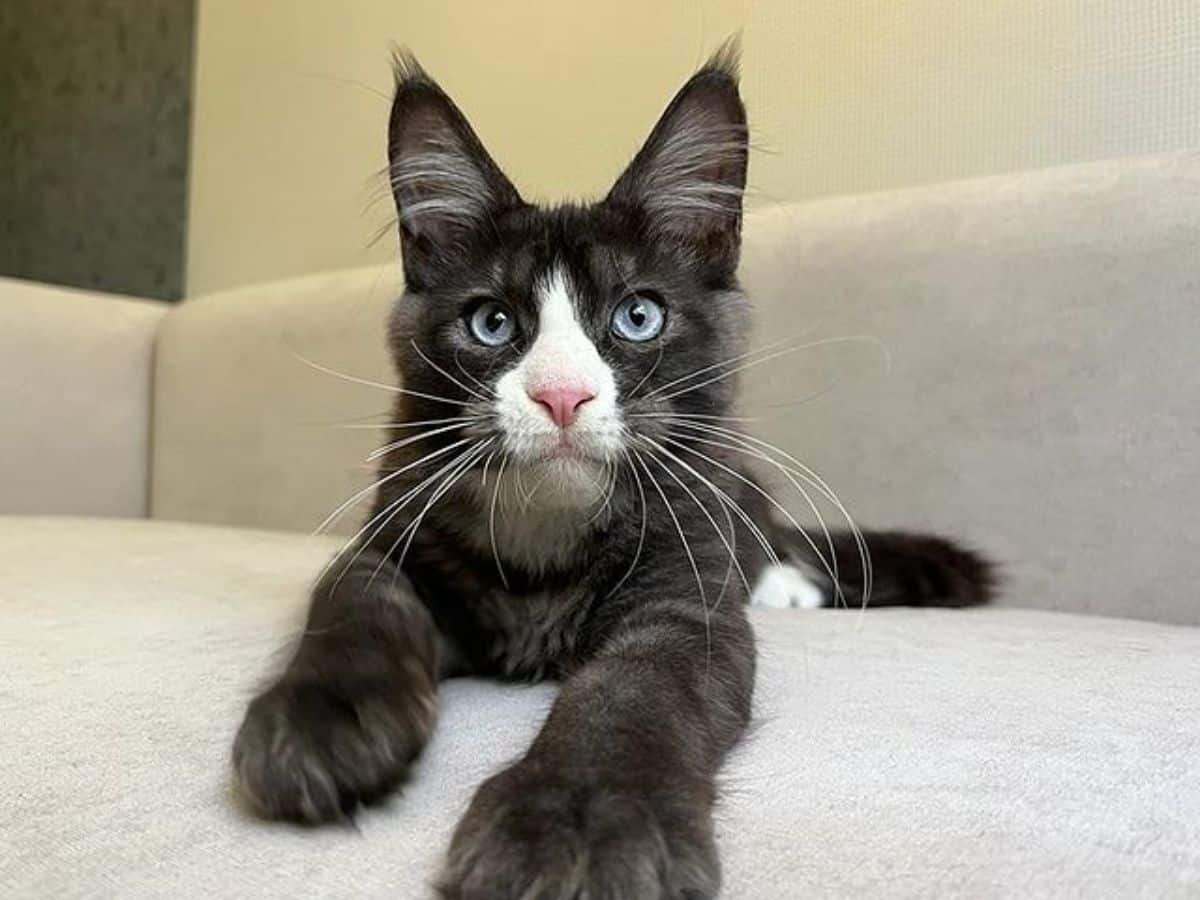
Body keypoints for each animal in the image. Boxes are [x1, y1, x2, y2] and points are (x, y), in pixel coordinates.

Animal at [231, 45, 993, 900]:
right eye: (491, 322)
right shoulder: (389, 534)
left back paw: (785, 586)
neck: (547, 528)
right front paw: (320, 719)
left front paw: (579, 815)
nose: (562, 394)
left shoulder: (682, 596)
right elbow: (356, 604)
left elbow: (630, 690)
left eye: (637, 316)